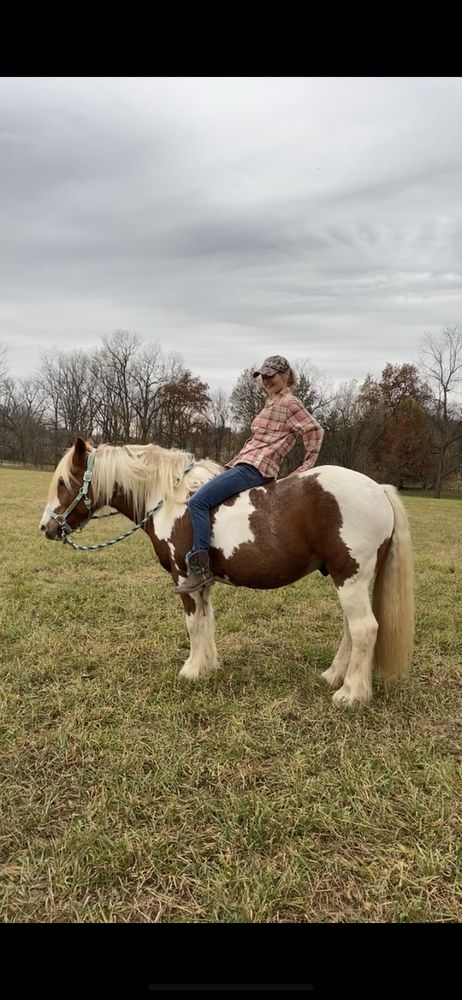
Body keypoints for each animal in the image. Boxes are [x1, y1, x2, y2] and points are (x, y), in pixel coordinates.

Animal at [39, 436, 414, 707]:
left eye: (64, 483)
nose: (46, 528)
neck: (170, 499)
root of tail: (378, 490)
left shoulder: (184, 579)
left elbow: (194, 624)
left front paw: (191, 670)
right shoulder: (202, 581)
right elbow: (206, 621)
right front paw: (207, 666)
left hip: (350, 578)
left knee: (364, 629)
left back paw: (350, 694)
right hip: (348, 580)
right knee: (351, 630)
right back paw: (333, 676)